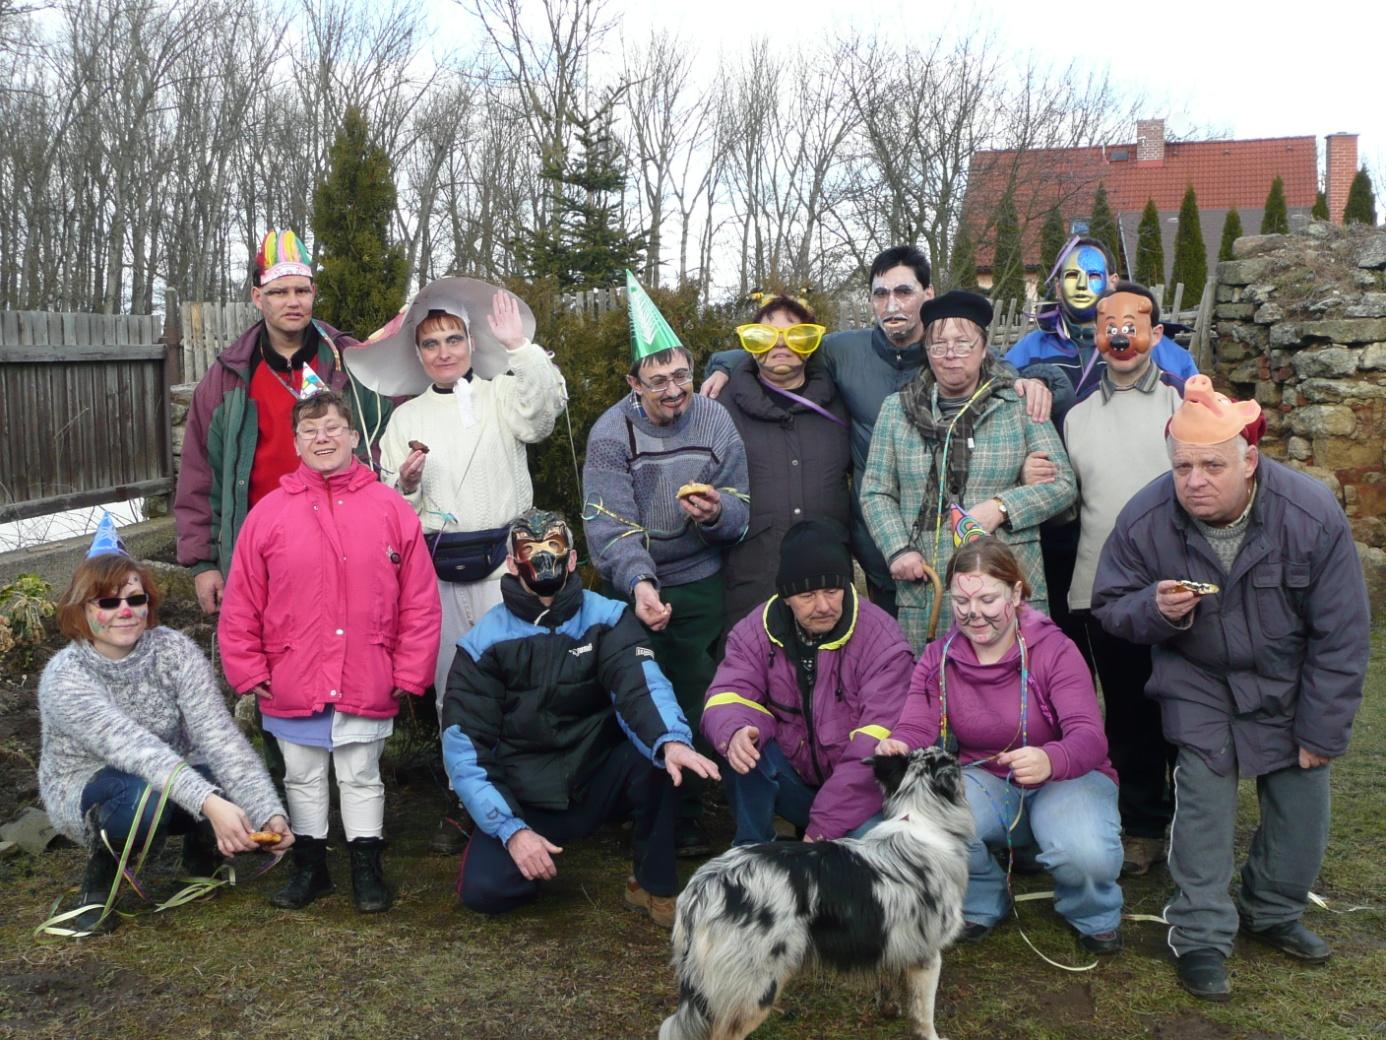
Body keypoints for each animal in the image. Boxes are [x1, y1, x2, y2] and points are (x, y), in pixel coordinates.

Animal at [662, 748, 975, 1040]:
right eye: (950, 759)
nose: (958, 751)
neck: (921, 820)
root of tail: (701, 888)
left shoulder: (892, 943)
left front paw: (888, 1008)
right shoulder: (928, 955)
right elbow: (924, 1014)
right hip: (754, 989)